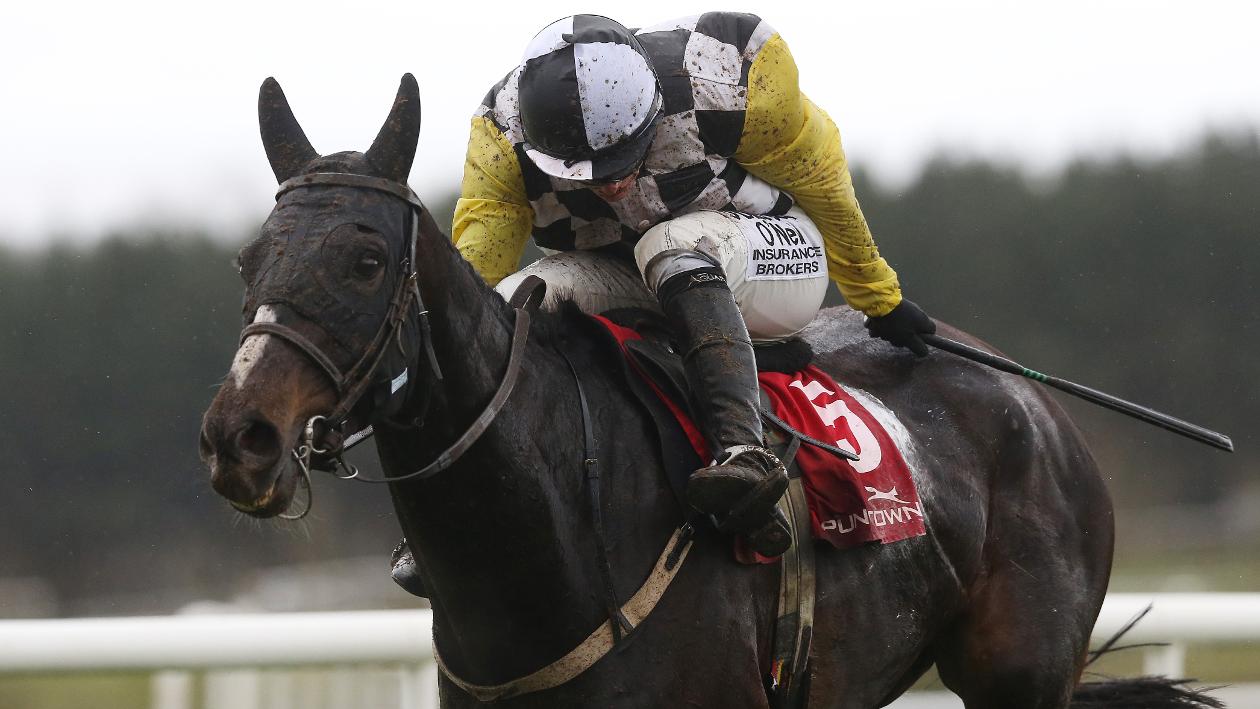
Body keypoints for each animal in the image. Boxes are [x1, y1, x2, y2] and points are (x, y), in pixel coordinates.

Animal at [198, 74, 1219, 708]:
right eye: (248, 261)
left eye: (367, 261)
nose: (240, 436)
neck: (548, 536)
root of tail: (1038, 405)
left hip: (1021, 670)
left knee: (683, 251)